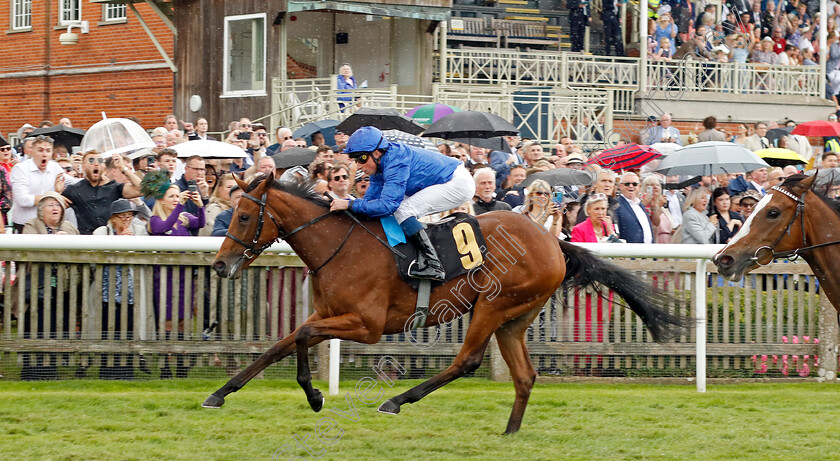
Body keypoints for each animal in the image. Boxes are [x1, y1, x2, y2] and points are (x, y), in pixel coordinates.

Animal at [203, 174, 688, 434]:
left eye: (245, 216)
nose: (220, 265)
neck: (339, 245)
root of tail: (553, 239)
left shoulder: (366, 325)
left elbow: (301, 336)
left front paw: (315, 394)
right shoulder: (328, 314)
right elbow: (279, 345)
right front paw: (221, 393)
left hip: (493, 306)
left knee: (467, 361)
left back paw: (396, 400)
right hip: (515, 318)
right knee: (525, 376)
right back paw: (509, 433)